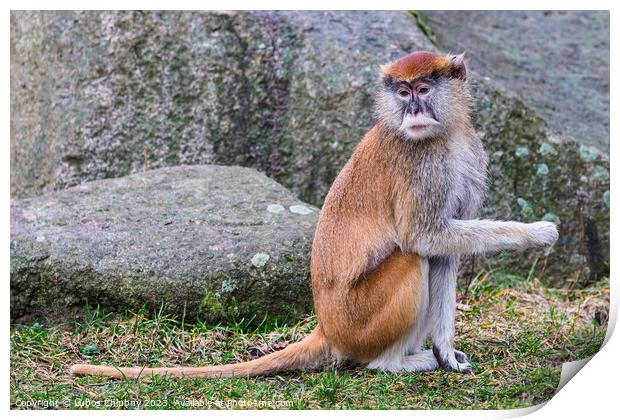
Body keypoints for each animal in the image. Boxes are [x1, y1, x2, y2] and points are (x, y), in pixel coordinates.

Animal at [71, 50, 556, 378]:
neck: (442, 134)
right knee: (409, 258)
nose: (414, 108)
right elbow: (425, 238)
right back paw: (393, 363)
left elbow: (446, 254)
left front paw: (447, 352)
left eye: (423, 88)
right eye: (402, 93)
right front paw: (537, 233)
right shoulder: (421, 166)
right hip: (361, 321)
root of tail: (326, 329)